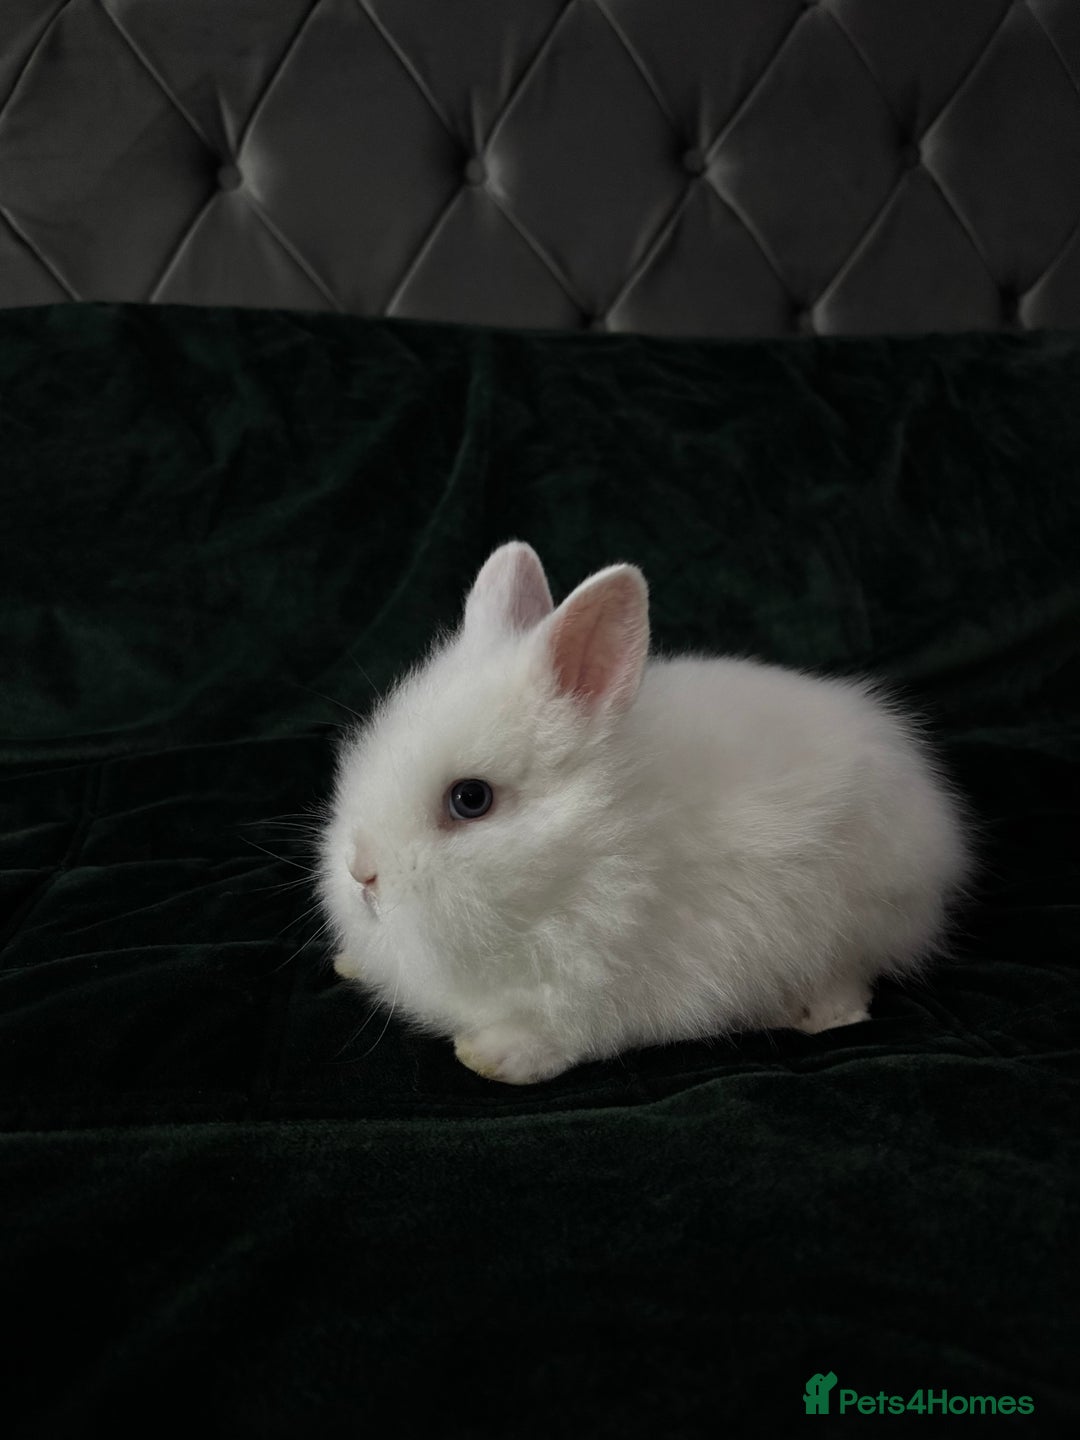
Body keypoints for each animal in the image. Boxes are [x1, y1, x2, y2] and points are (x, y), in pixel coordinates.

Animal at [317, 541, 973, 1085]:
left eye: (470, 799)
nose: (361, 874)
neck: (592, 850)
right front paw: (352, 963)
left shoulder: (615, 986)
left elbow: (570, 1033)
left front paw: (493, 1056)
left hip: (856, 912)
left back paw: (823, 1014)